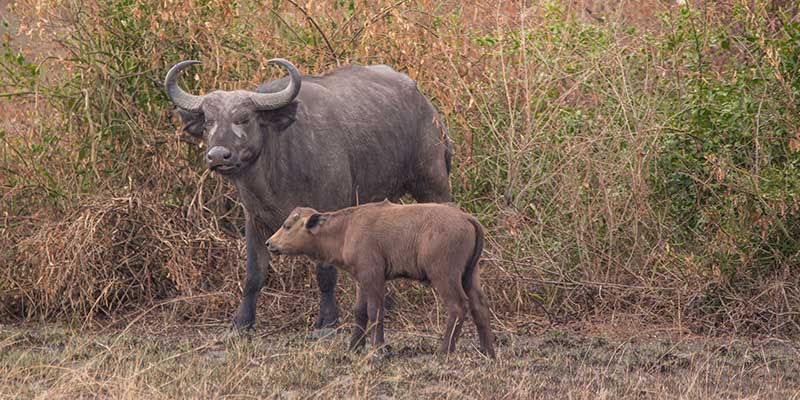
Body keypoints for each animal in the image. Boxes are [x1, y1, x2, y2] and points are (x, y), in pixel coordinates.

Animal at [164, 58, 452, 333]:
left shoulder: (326, 213)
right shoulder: (254, 220)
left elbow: (325, 273)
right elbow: (254, 274)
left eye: (244, 118)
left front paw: (326, 321)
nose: (218, 156)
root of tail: (426, 106)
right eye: (208, 120)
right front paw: (241, 323)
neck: (276, 170)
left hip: (433, 184)